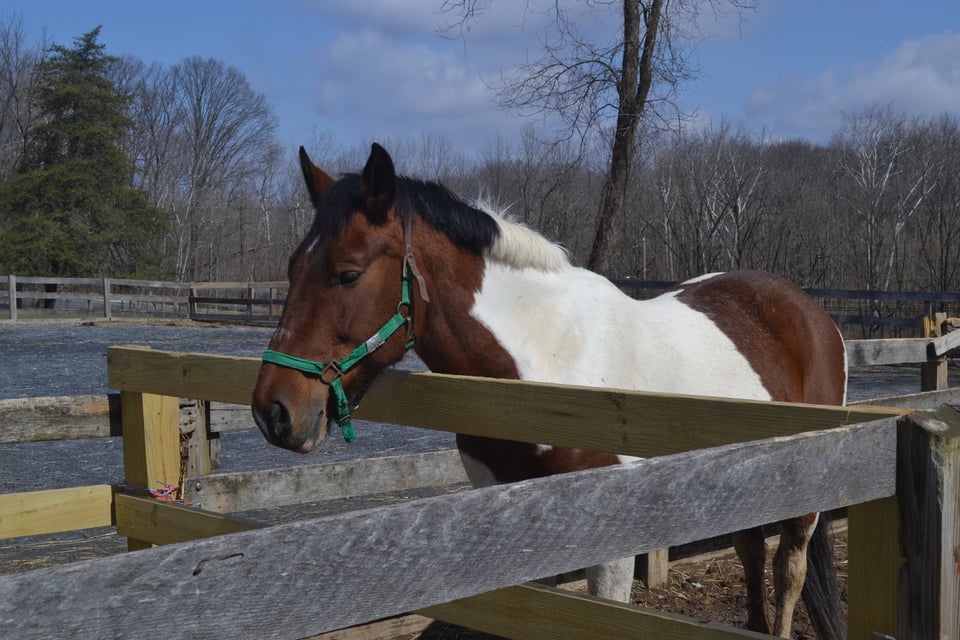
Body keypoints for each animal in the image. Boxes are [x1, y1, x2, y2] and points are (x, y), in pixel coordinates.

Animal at [251, 143, 846, 639]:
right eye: (292, 267)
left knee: (788, 570)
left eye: (348, 273)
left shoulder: (611, 543)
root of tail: (811, 312)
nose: (273, 411)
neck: (544, 371)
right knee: (751, 552)